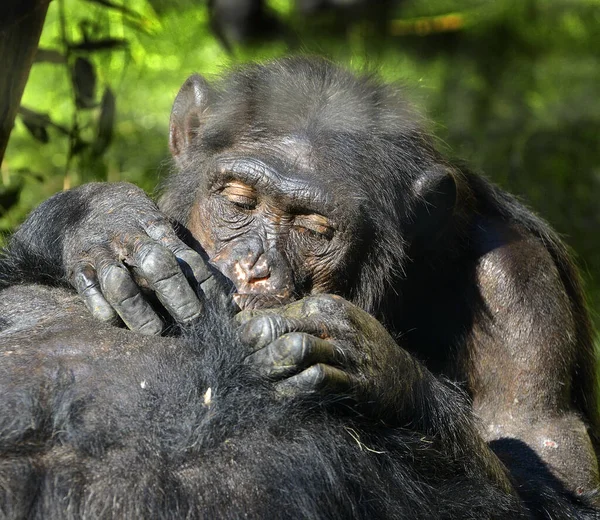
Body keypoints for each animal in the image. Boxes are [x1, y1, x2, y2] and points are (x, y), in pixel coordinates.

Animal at [0, 58, 596, 516]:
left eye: (314, 228)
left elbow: (554, 468)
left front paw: (369, 360)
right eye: (238, 198)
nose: (253, 267)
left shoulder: (518, 284)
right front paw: (103, 220)